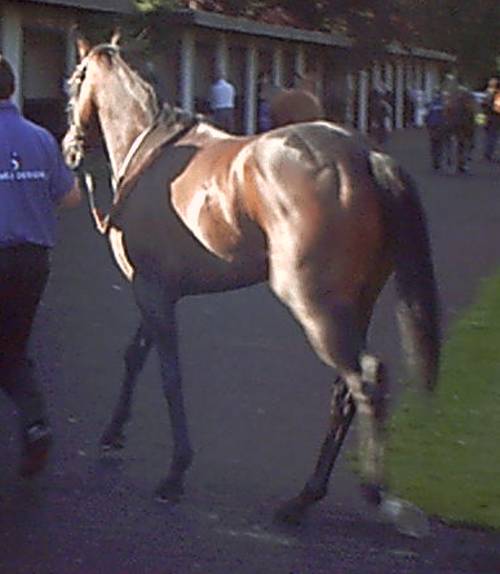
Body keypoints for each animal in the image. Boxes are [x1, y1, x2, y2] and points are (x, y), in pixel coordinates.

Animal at [62, 34, 440, 530]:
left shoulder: (153, 293)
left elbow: (168, 374)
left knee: (366, 379)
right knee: (345, 389)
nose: (69, 147)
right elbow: (135, 358)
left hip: (315, 307)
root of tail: (366, 156)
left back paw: (376, 496)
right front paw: (113, 433)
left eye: (74, 81)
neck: (151, 153)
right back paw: (303, 498)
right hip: (354, 305)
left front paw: (176, 471)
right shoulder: (157, 290)